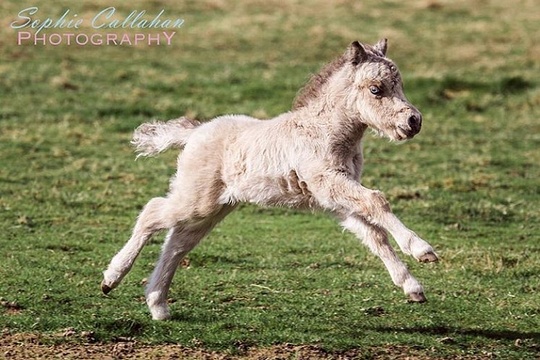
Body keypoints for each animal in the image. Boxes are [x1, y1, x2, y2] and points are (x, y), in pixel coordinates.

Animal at [102, 39, 438, 320]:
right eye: (376, 89)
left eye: (400, 85)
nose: (413, 121)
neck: (325, 131)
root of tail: (194, 133)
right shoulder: (329, 183)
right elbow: (377, 202)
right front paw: (422, 250)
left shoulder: (334, 199)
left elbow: (374, 233)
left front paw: (412, 287)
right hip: (196, 200)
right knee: (152, 213)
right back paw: (111, 279)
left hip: (212, 209)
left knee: (177, 244)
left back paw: (157, 305)